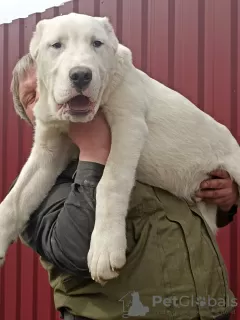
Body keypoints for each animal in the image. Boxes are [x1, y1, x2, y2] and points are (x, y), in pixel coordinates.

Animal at [0, 12, 240, 284]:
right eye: (56, 45)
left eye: (97, 43)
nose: (81, 75)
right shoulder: (48, 149)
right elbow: (16, 197)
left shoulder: (129, 126)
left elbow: (110, 183)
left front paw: (104, 249)